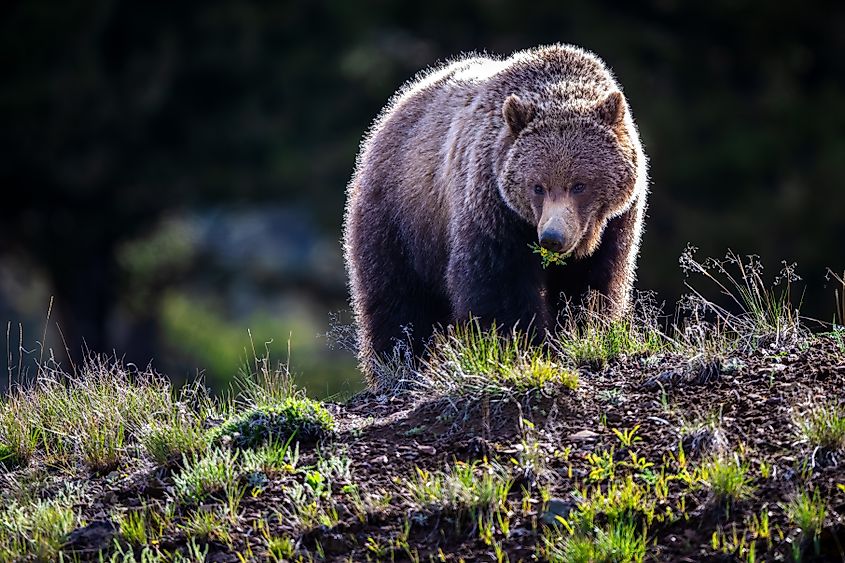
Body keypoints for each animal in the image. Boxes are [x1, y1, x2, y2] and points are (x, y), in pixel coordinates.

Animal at [343, 44, 649, 384]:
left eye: (579, 184)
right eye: (537, 186)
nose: (552, 237)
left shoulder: (617, 223)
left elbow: (593, 284)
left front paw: (582, 331)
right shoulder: (492, 206)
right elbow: (497, 283)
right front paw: (521, 345)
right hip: (400, 216)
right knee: (395, 297)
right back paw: (398, 364)